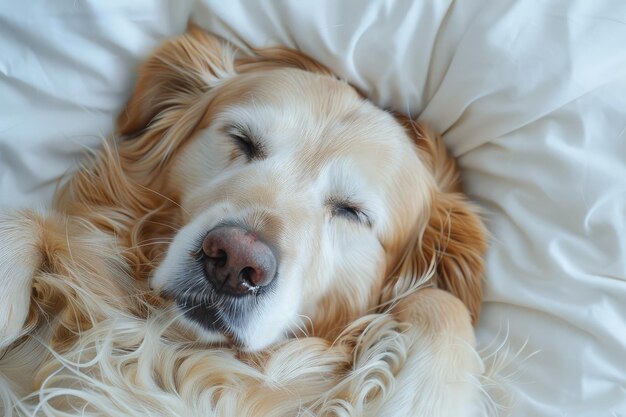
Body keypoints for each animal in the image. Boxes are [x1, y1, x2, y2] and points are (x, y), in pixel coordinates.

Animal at [0, 26, 488, 416]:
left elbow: (442, 302)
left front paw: (420, 401)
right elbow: (24, 221)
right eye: (242, 140)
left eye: (352, 211)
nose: (234, 263)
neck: (183, 348)